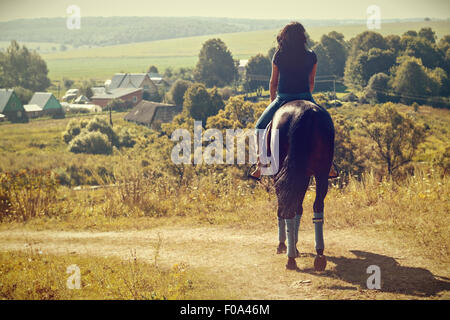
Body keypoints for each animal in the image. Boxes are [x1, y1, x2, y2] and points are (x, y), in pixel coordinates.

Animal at [268, 99, 334, 270]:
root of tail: (306, 113)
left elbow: (285, 207)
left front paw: (284, 245)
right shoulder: (304, 177)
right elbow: (299, 208)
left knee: (286, 208)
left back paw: (290, 258)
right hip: (321, 172)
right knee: (318, 206)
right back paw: (319, 253)